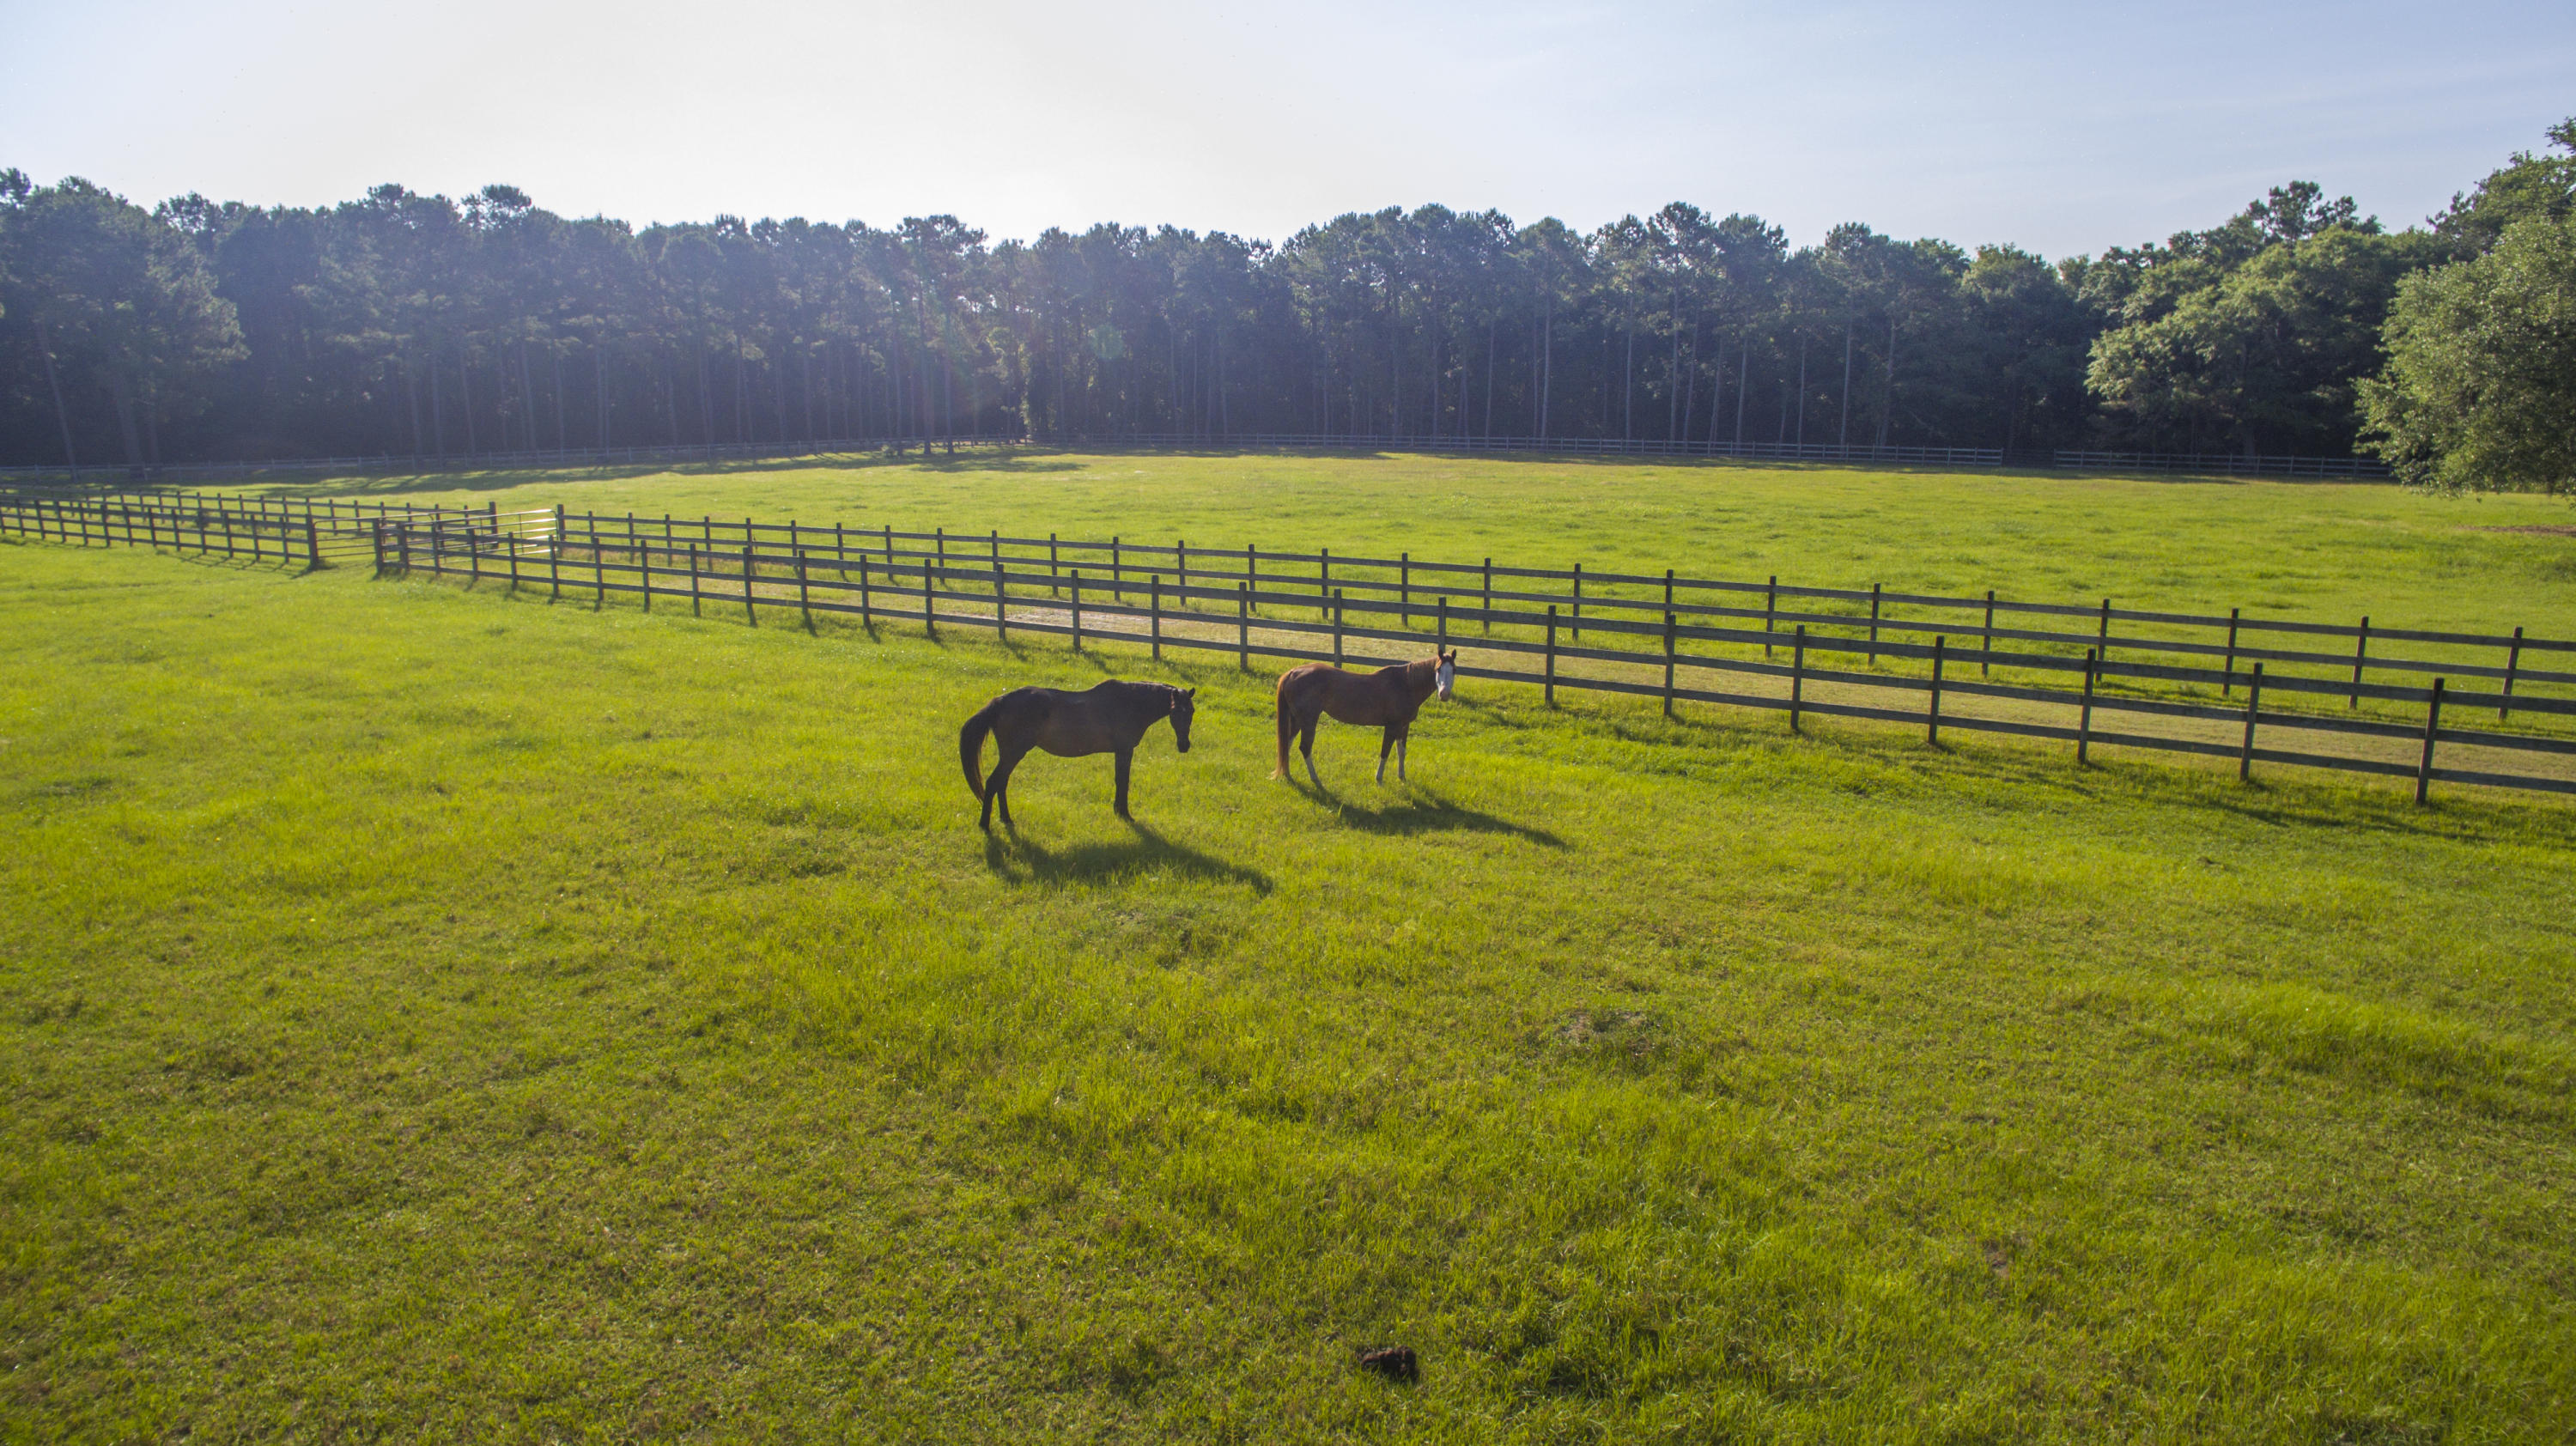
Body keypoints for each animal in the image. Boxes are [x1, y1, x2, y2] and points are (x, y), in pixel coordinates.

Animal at [958, 681, 1196, 831]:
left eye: (1192, 711)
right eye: (1176, 711)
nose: (1184, 745)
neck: (1130, 703)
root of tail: (999, 702)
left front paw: (1118, 811)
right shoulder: (1124, 750)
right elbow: (1123, 781)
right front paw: (1124, 813)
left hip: (1010, 755)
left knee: (1001, 783)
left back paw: (1006, 819)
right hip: (1013, 753)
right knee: (993, 782)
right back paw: (985, 825)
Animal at [1272, 650, 1456, 788]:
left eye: (1454, 670)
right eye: (1438, 669)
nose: (1444, 694)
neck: (1405, 685)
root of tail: (1292, 673)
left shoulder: (1404, 726)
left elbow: (1401, 751)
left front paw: (1402, 777)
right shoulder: (1392, 726)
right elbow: (1385, 752)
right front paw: (1379, 780)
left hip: (1296, 720)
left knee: (1286, 744)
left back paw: (1287, 774)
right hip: (1308, 721)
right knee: (1305, 747)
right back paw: (1315, 779)